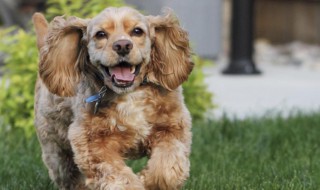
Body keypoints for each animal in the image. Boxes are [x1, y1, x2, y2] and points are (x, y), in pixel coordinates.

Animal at [32, 6, 192, 189]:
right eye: (100, 34)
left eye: (137, 31)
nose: (123, 45)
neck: (130, 94)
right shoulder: (91, 142)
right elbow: (117, 175)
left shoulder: (172, 127)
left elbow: (167, 167)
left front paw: (148, 181)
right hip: (56, 149)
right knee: (68, 175)